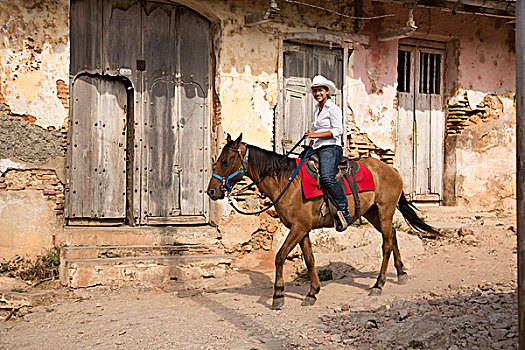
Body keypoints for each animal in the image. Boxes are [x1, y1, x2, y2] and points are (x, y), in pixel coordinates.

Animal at [207, 134, 436, 308]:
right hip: (373, 213)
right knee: (393, 236)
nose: (212, 191)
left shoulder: (299, 227)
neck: (286, 181)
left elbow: (280, 257)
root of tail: (391, 170)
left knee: (387, 244)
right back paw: (401, 273)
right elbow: (309, 259)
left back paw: (378, 285)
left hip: (385, 211)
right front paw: (312, 292)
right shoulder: (302, 229)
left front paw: (278, 295)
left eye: (225, 161)